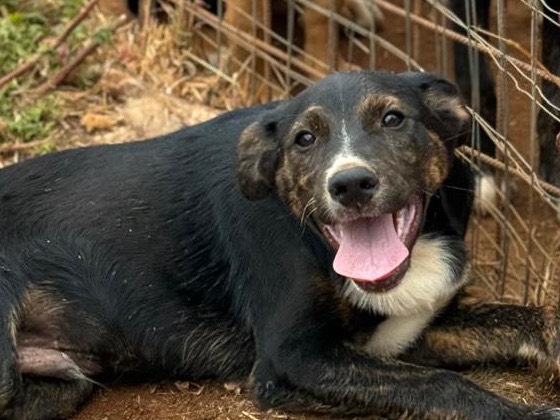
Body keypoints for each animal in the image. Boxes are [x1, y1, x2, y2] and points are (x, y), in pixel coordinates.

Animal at [1, 70, 560, 418]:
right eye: (303, 139)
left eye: (393, 119)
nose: (350, 184)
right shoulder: (292, 358)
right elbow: (442, 384)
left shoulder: (407, 331)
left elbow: (530, 317)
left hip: (60, 386)